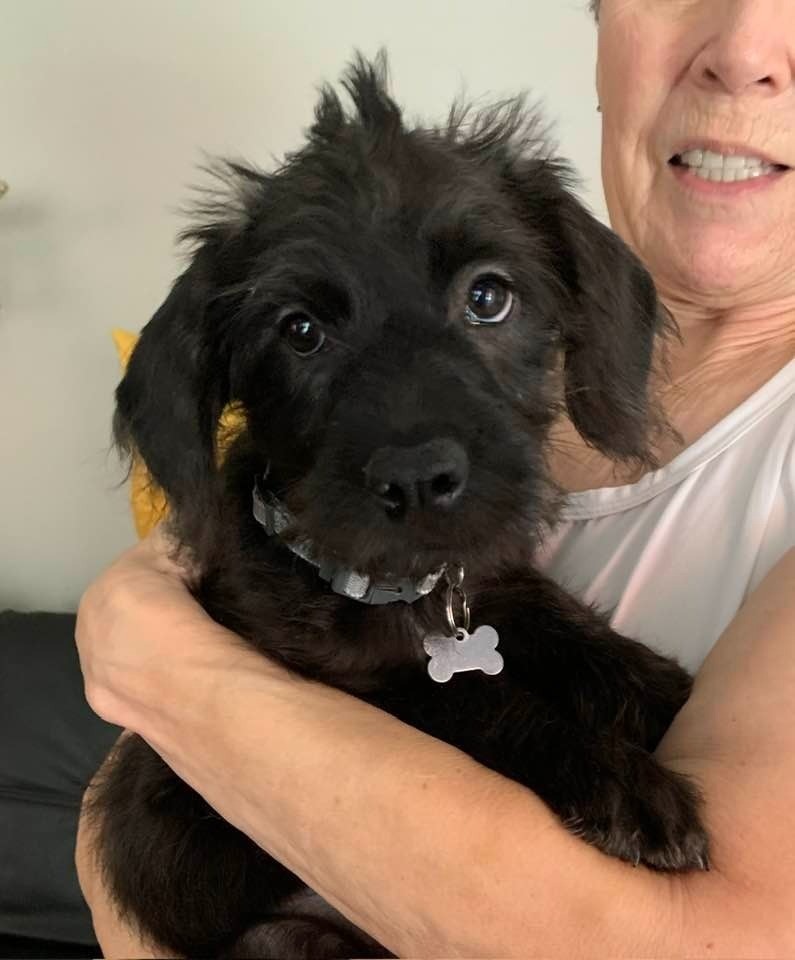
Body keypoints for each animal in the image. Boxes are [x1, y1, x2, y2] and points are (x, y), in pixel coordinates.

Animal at [91, 54, 708, 960]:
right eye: (300, 331)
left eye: (487, 298)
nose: (418, 479)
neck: (397, 589)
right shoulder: (333, 697)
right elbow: (465, 699)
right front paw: (619, 777)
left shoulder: (494, 582)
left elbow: (568, 626)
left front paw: (663, 689)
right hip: (283, 939)